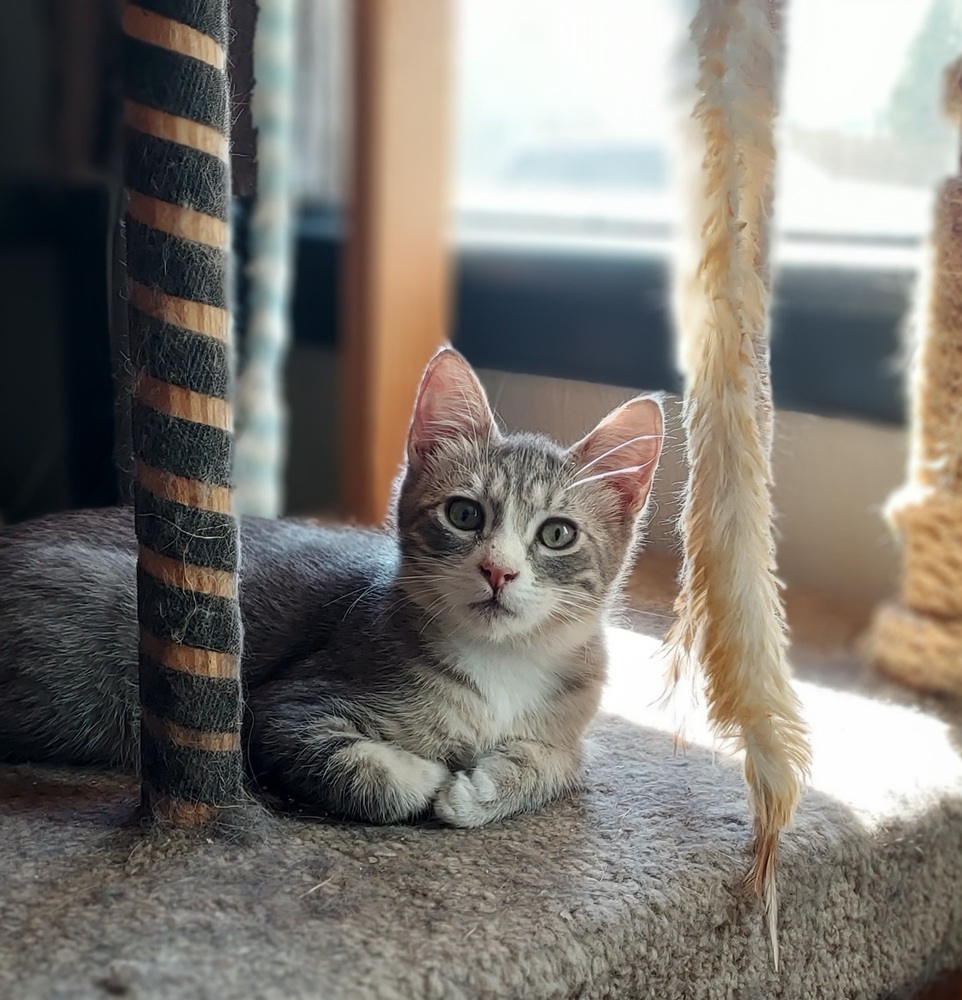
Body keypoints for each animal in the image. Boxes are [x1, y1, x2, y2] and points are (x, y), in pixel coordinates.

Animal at [0, 348, 660, 824]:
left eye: (556, 534)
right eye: (464, 514)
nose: (499, 571)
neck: (500, 663)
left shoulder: (573, 723)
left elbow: (560, 762)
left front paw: (481, 790)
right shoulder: (281, 706)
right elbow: (367, 774)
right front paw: (426, 776)